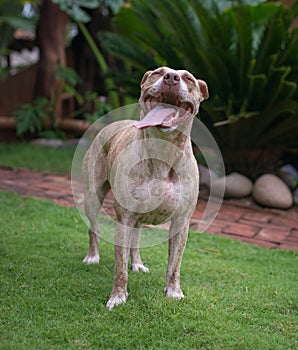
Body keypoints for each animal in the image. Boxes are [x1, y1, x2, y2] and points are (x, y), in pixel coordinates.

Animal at [80, 66, 208, 308]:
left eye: (188, 78)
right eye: (158, 72)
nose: (171, 77)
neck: (162, 152)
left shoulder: (181, 221)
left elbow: (174, 265)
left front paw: (173, 292)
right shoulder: (124, 217)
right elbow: (120, 267)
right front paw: (118, 297)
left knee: (136, 238)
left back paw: (137, 263)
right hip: (93, 195)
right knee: (94, 228)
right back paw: (92, 256)